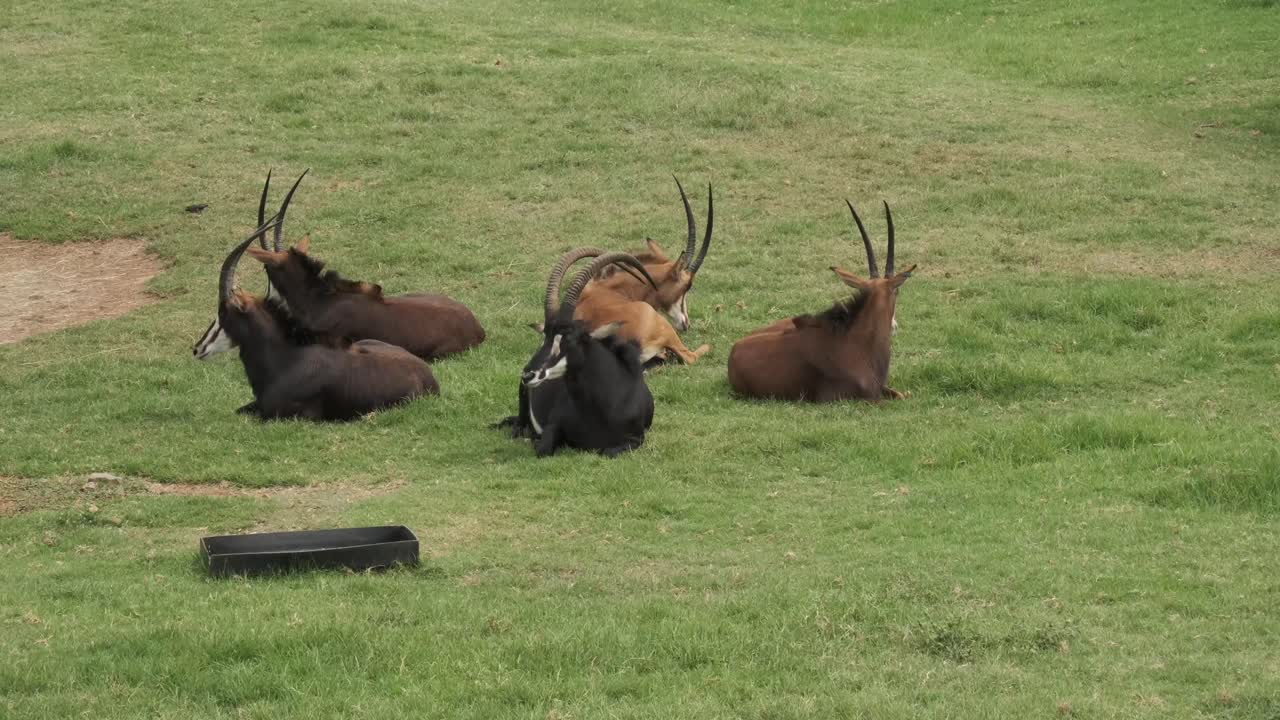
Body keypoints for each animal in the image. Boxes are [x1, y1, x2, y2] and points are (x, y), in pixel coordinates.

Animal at [498, 248, 657, 456]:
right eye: (545, 336)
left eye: (569, 338)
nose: (528, 375)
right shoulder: (553, 424)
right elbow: (543, 449)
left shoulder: (637, 437)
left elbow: (606, 451)